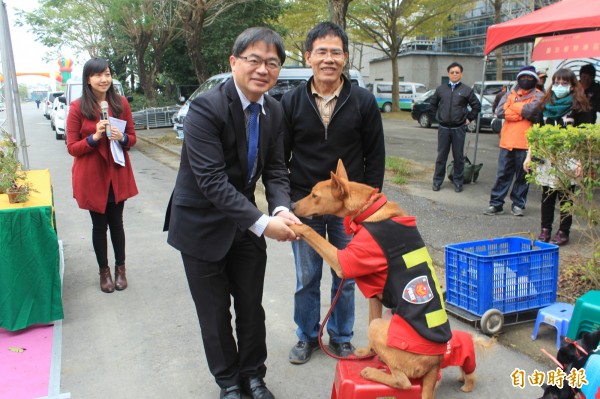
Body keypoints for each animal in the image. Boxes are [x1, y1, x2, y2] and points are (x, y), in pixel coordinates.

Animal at [292, 160, 454, 399]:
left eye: (314, 195)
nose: (292, 206)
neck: (368, 209)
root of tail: (437, 363)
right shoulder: (375, 297)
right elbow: (370, 321)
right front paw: (369, 352)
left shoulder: (341, 263)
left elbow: (310, 231)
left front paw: (292, 224)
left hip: (382, 329)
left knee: (404, 382)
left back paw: (373, 372)